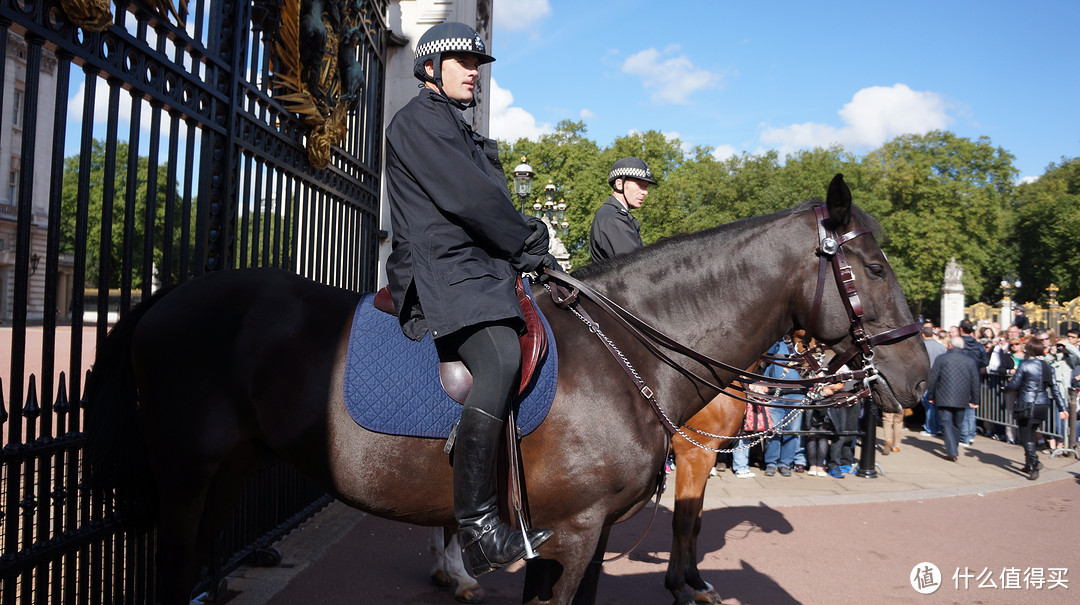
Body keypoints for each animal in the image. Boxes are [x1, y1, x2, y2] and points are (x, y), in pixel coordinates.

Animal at [84, 172, 928, 600]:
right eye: (873, 265)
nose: (918, 375)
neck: (632, 349)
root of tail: (166, 295)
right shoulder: (574, 530)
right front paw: (689, 583)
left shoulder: (590, 533)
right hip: (187, 477)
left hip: (226, 471)